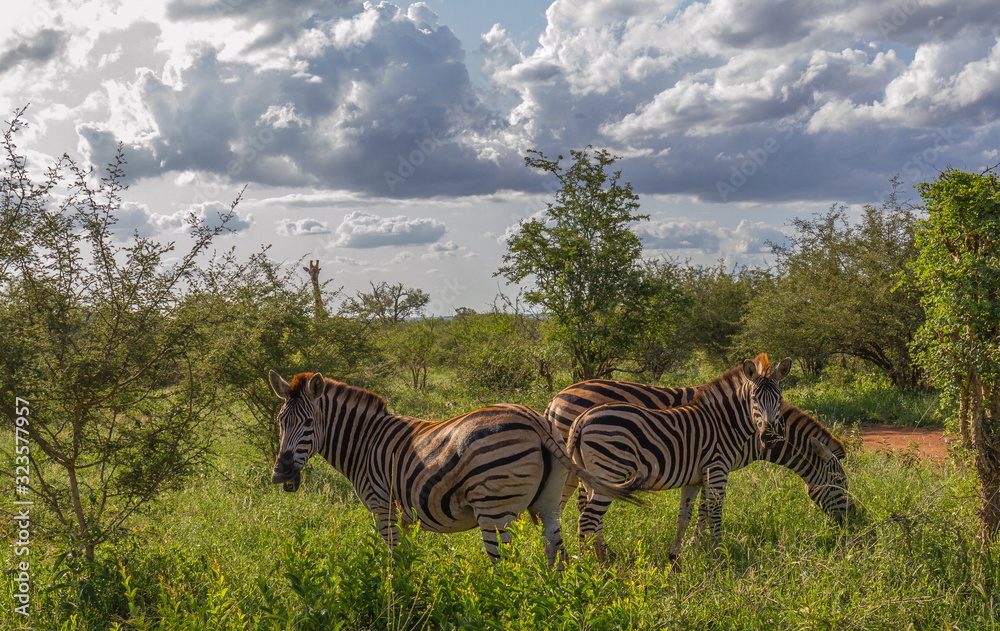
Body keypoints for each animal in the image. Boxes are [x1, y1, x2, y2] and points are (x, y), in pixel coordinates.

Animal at [267, 370, 639, 567]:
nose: (281, 474)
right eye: (280, 421)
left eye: (309, 423)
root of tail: (535, 420)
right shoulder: (407, 510)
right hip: (549, 503)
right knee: (555, 552)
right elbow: (409, 552)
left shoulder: (381, 504)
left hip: (493, 509)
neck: (365, 442)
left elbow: (393, 556)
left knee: (504, 566)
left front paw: (396, 591)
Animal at [567, 354, 791, 563]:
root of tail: (582, 419)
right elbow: (715, 512)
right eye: (754, 398)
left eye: (779, 398)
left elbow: (686, 516)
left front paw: (678, 554)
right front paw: (719, 552)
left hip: (593, 478)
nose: (769, 436)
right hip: (610, 471)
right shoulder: (717, 469)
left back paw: (597, 558)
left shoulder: (695, 478)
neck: (724, 422)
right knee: (588, 519)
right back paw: (598, 567)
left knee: (592, 518)